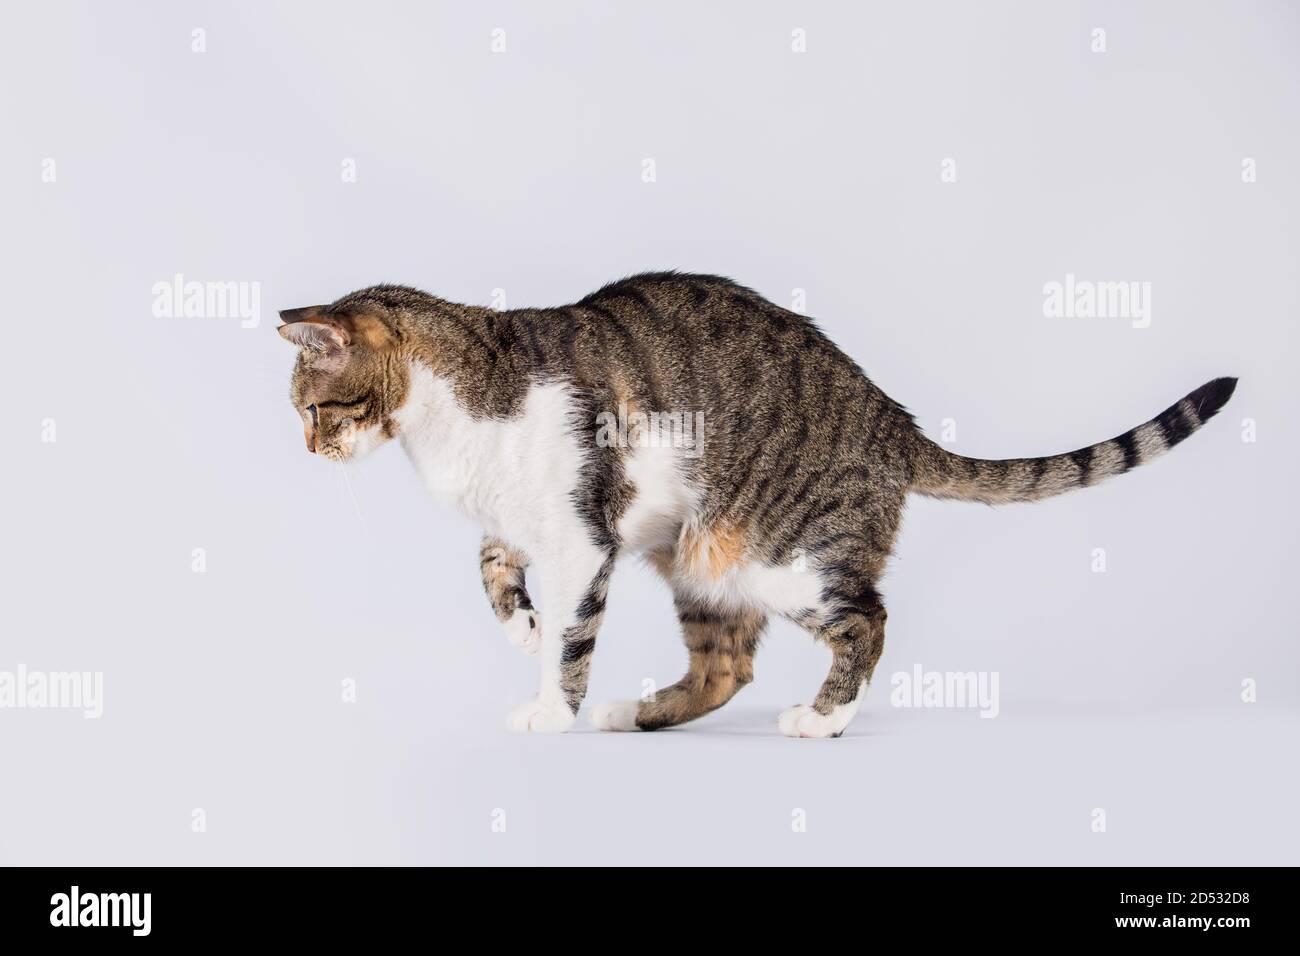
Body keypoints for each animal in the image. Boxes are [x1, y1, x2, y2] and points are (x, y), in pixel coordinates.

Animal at [276, 273, 1237, 738]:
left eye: (314, 408)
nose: (307, 451)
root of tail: (894, 421)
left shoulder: (585, 537)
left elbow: (572, 641)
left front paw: (551, 705)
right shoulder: (517, 518)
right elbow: (488, 562)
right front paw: (520, 624)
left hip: (785, 557)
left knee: (868, 620)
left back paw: (824, 718)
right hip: (700, 562)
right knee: (725, 668)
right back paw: (641, 713)